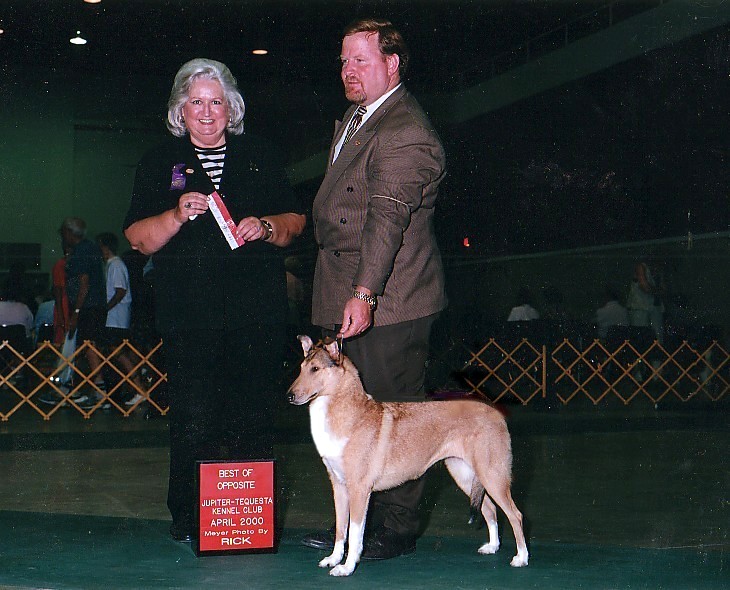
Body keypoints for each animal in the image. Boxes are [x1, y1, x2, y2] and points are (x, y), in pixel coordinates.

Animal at [287, 336, 529, 577]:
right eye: (301, 368)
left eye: (315, 369)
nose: (290, 396)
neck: (350, 415)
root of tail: (497, 414)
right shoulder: (339, 486)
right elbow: (340, 529)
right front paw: (333, 559)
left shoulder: (359, 489)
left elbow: (355, 534)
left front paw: (346, 568)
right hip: (466, 476)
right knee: (490, 509)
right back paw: (492, 547)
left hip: (492, 476)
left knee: (515, 514)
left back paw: (521, 558)